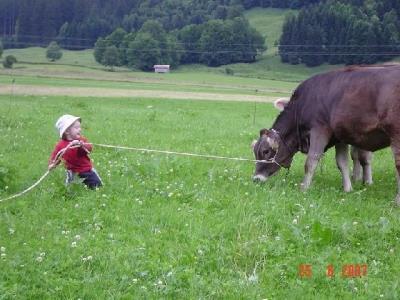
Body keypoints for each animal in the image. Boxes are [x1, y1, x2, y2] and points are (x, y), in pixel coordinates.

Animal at [253, 64, 400, 203]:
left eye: (266, 151)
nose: (256, 178)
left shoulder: (319, 130)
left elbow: (311, 161)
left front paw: (304, 188)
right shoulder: (340, 137)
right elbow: (342, 162)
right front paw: (347, 188)